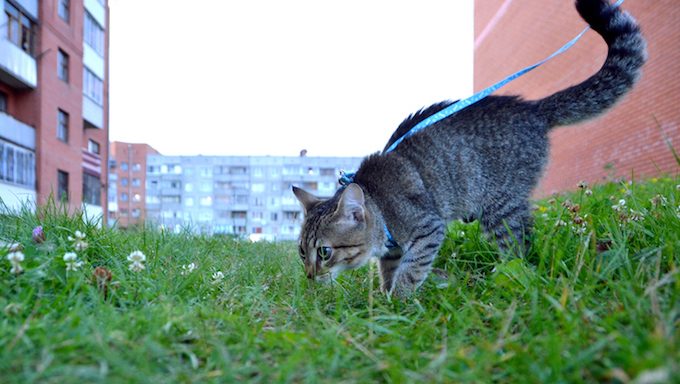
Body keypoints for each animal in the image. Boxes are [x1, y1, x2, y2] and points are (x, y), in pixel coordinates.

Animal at [290, 0, 644, 296]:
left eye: (324, 252)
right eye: (301, 251)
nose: (309, 276)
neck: (381, 209)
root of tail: (534, 108)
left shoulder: (427, 229)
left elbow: (410, 271)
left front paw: (398, 301)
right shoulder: (393, 251)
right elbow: (388, 271)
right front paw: (383, 300)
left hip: (500, 207)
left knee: (519, 246)